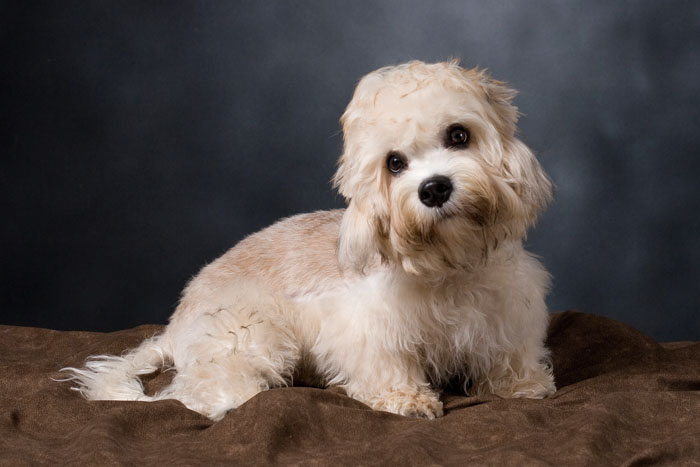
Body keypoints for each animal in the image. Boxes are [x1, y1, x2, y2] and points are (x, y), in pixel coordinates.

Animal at [64, 60, 556, 422]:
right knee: (192, 394)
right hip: (253, 330)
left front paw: (522, 386)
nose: (434, 189)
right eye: (394, 163)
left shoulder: (510, 314)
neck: (448, 267)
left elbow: (510, 358)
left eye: (459, 135)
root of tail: (175, 326)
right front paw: (407, 400)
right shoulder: (369, 330)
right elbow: (388, 365)